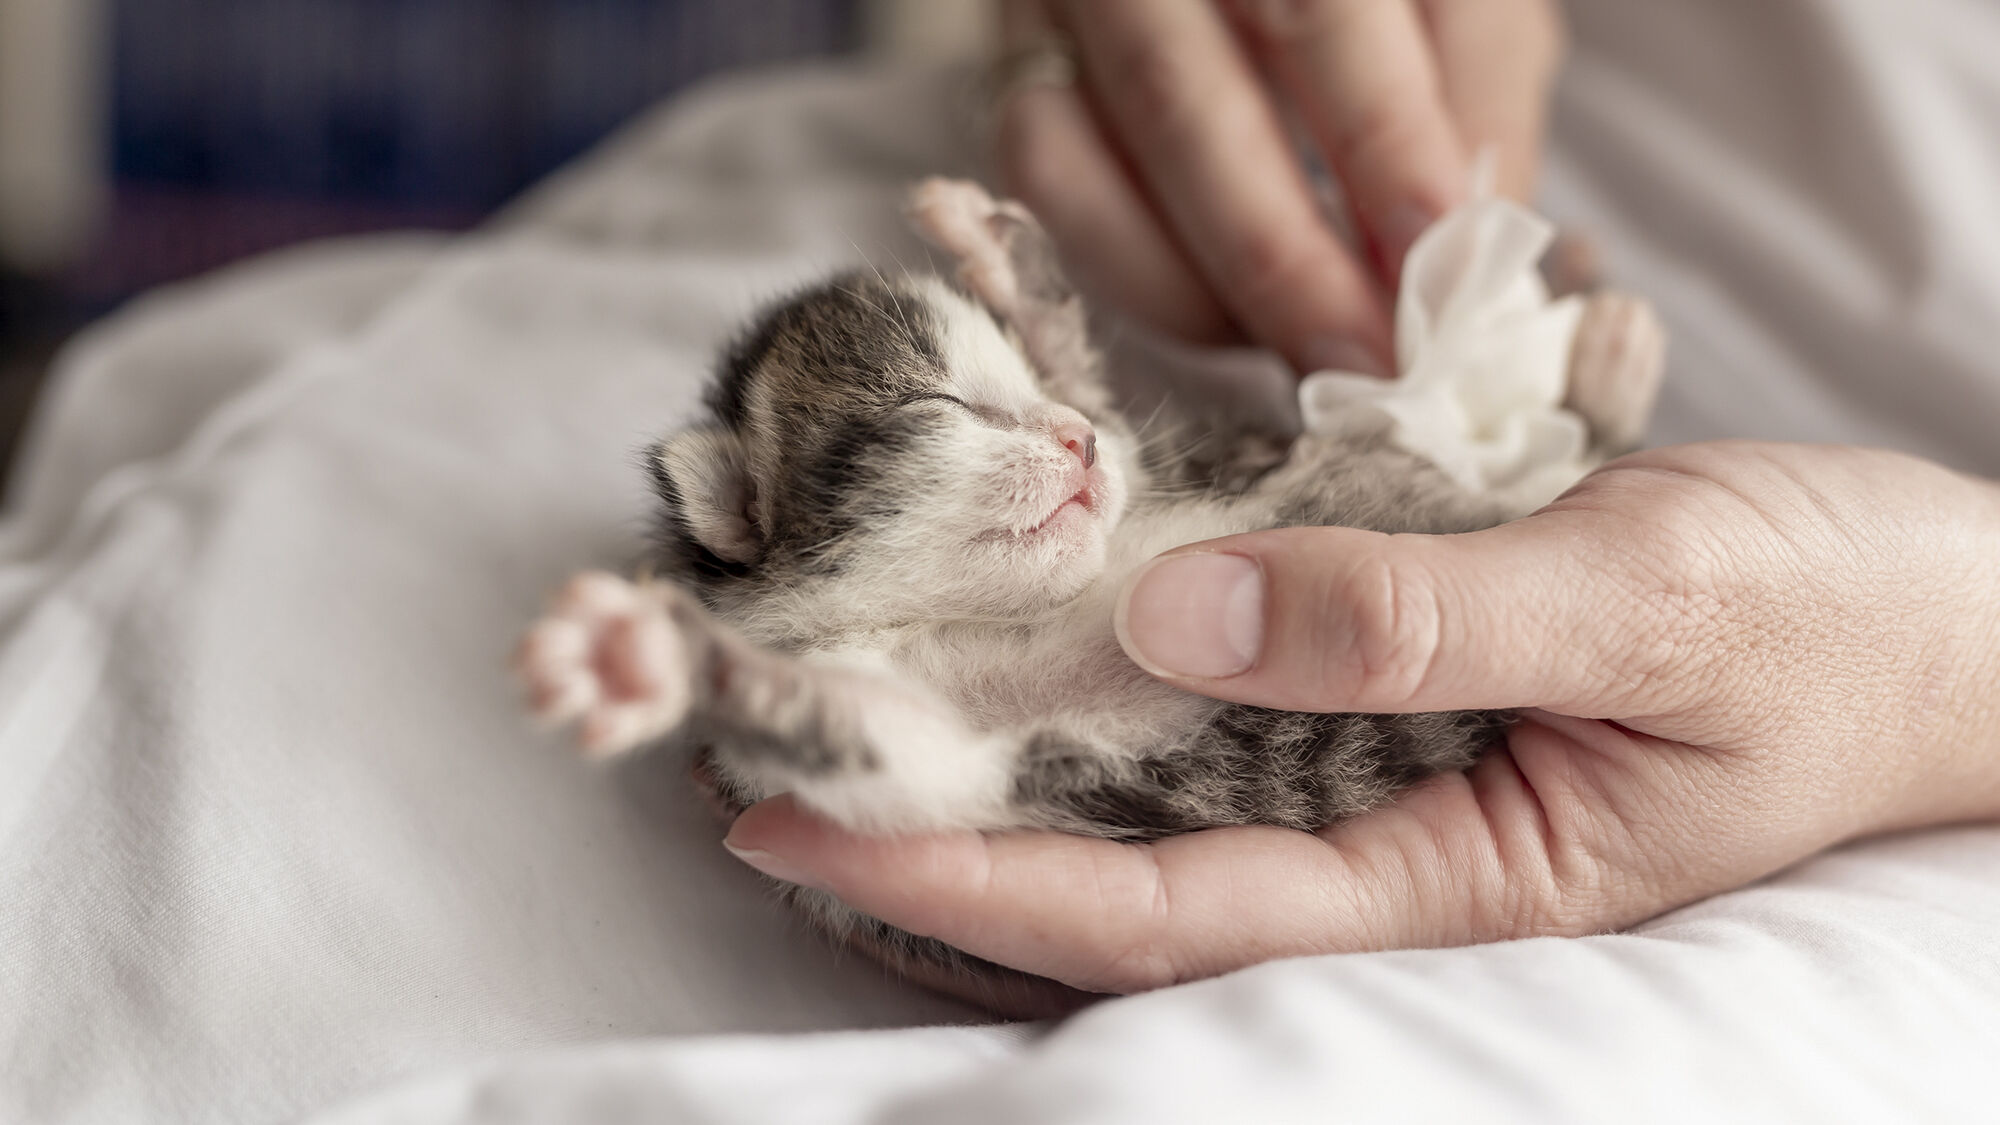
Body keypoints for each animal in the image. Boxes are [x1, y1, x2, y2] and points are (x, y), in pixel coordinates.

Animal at [520, 182, 1672, 1008]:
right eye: (940, 402)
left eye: (1039, 395)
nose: (1072, 440)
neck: (969, 612)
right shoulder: (918, 770)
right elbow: (864, 735)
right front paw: (651, 659)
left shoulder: (1139, 456)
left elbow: (1107, 396)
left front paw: (995, 252)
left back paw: (1614, 347)